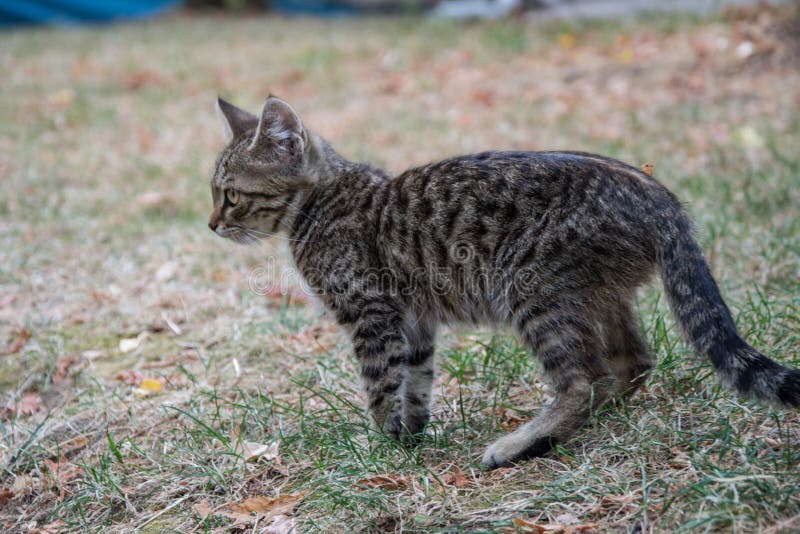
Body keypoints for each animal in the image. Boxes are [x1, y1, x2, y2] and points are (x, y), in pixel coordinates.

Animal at [208, 96, 800, 468]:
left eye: (230, 194)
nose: (211, 224)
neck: (323, 201)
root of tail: (656, 193)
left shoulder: (371, 315)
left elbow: (380, 385)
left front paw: (380, 444)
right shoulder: (414, 322)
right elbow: (415, 382)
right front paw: (410, 437)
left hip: (534, 291)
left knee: (585, 379)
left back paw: (524, 442)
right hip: (597, 296)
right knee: (631, 363)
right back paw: (581, 424)